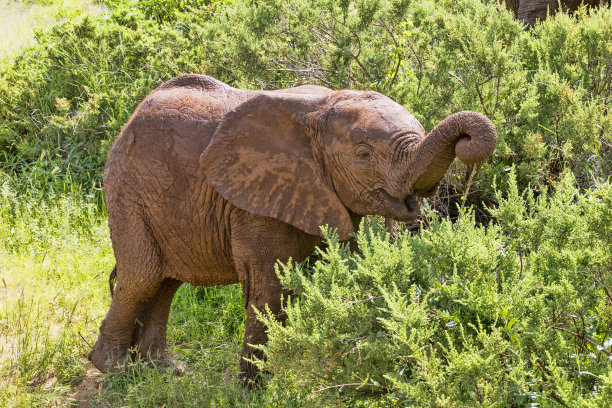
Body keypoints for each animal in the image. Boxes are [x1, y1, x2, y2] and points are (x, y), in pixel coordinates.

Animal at [87, 73, 498, 382]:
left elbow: (340, 272)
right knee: (142, 276)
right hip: (127, 189)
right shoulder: (255, 203)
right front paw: (251, 391)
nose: (467, 141)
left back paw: (163, 371)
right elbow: (270, 289)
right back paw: (115, 371)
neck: (320, 111)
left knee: (166, 282)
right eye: (363, 155)